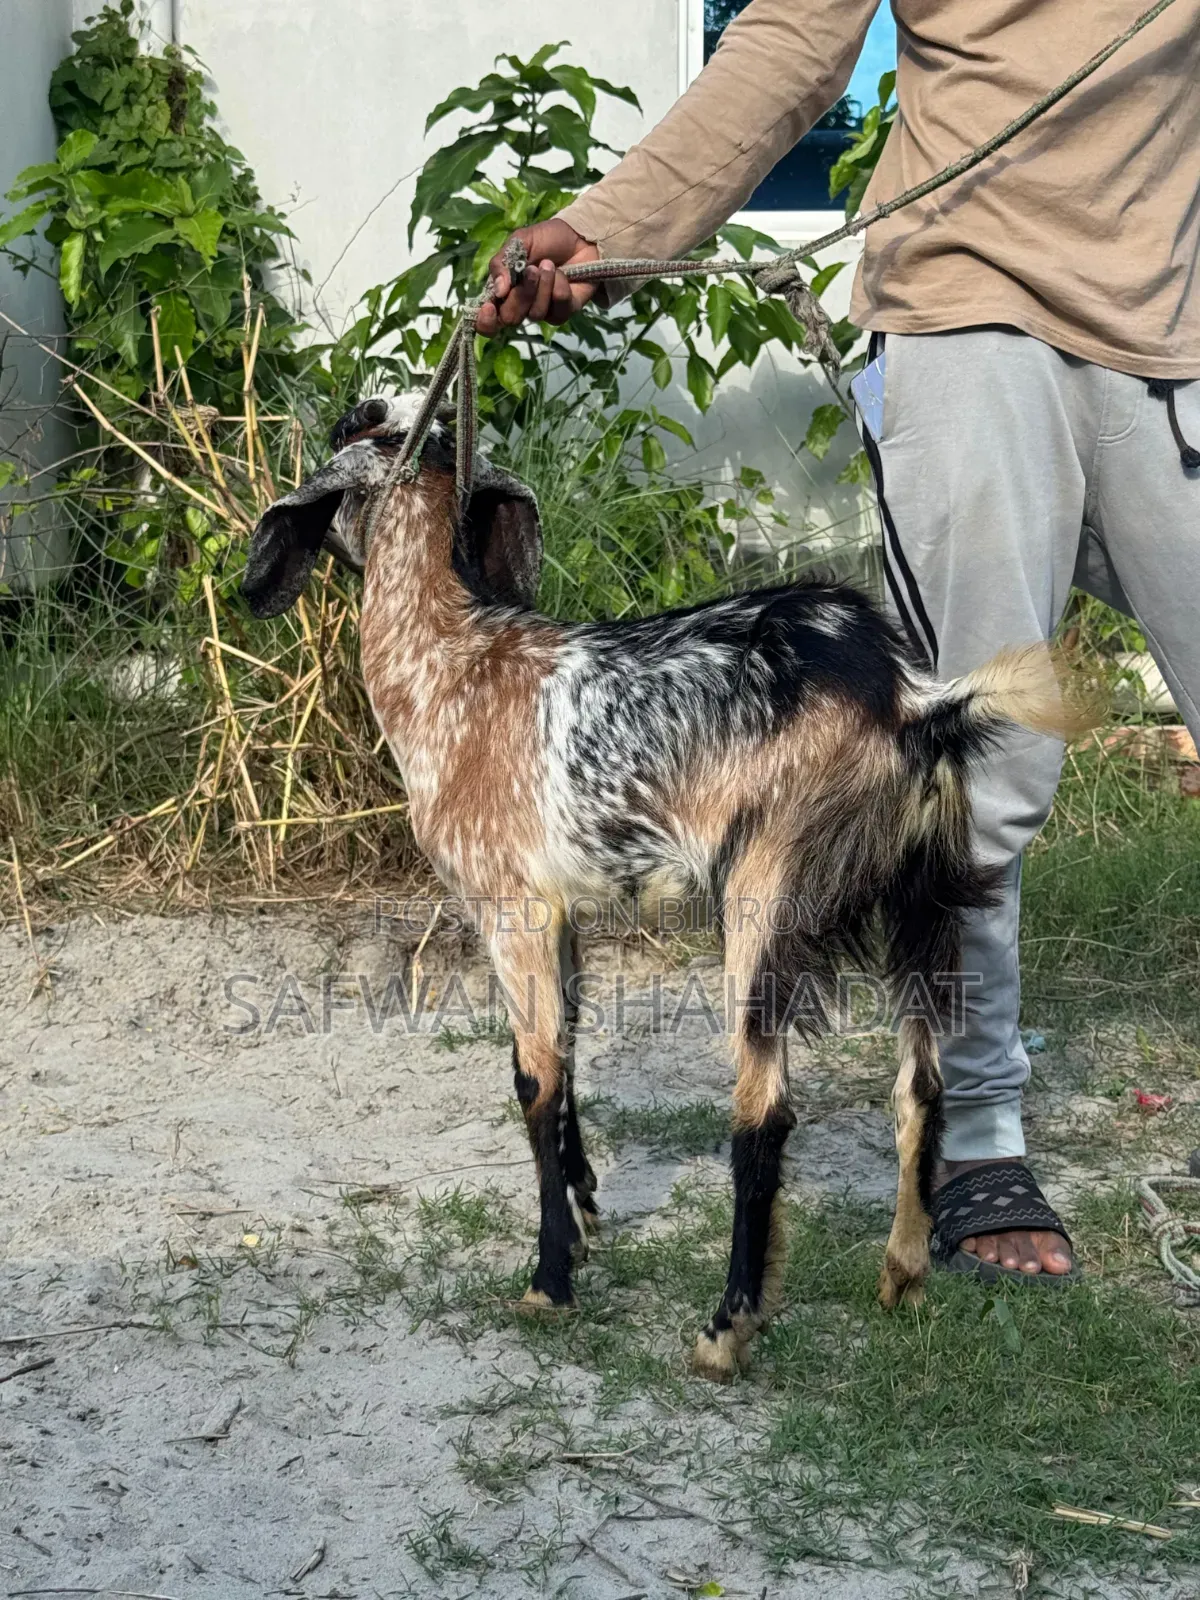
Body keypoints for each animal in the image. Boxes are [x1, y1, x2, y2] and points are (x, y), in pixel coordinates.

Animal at [242, 394, 1093, 1382]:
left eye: (360, 420)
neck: (451, 663)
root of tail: (913, 700)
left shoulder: (509, 905)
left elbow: (533, 1076)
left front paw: (550, 1278)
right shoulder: (564, 910)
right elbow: (565, 1048)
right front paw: (583, 1210)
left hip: (765, 892)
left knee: (764, 1111)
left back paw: (727, 1327)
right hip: (925, 896)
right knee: (921, 1083)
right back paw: (902, 1276)